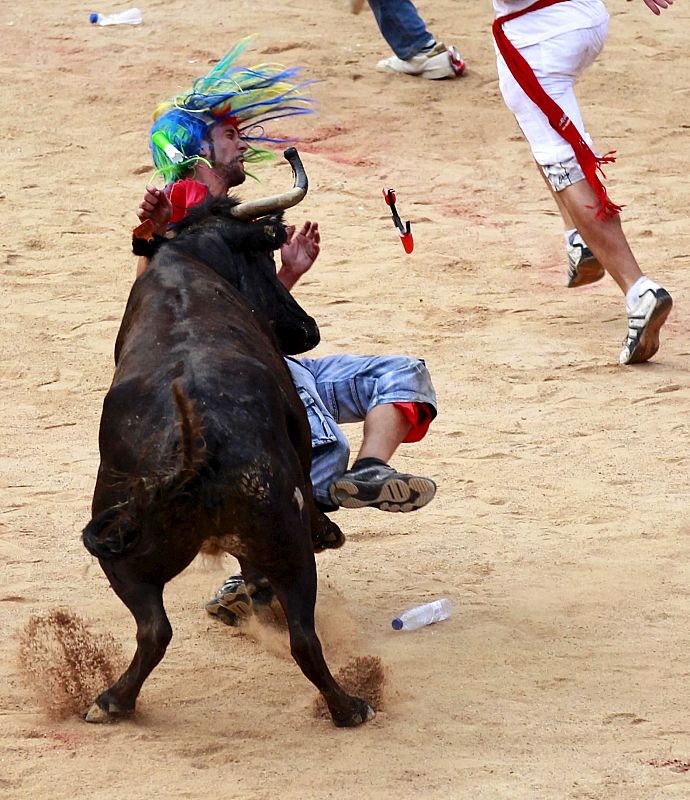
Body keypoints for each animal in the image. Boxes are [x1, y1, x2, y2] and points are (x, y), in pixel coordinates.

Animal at [82, 197, 374, 728]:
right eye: (264, 258)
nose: (306, 331)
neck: (185, 258)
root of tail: (195, 453)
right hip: (287, 543)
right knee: (302, 636)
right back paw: (349, 707)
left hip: (123, 552)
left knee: (154, 630)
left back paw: (112, 701)